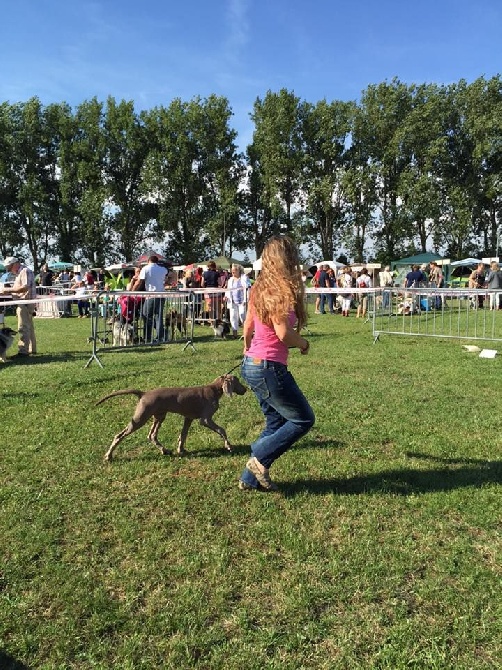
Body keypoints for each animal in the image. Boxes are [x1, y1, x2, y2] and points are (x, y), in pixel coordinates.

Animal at [96, 372, 245, 462]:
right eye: (238, 382)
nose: (245, 389)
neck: (214, 389)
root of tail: (144, 393)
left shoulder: (188, 418)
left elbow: (183, 435)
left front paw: (181, 449)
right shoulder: (205, 419)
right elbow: (222, 430)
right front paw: (229, 446)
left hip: (159, 416)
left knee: (151, 435)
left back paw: (165, 450)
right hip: (140, 418)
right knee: (119, 435)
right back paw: (108, 456)